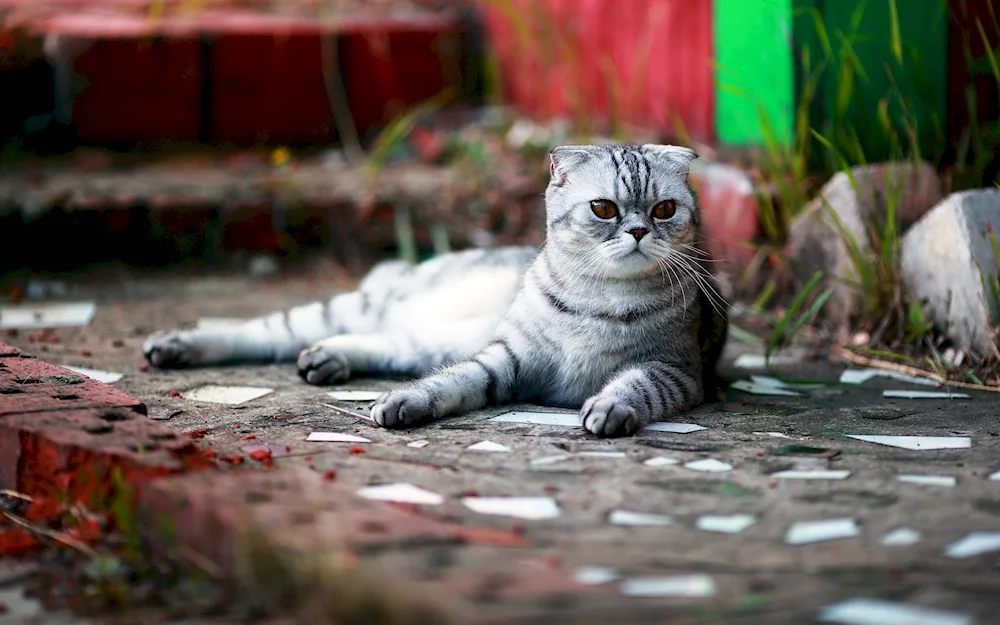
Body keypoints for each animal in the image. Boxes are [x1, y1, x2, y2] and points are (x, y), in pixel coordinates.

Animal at [143, 142, 728, 436]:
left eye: (665, 210)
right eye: (604, 208)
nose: (639, 231)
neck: (599, 296)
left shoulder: (675, 371)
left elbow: (634, 386)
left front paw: (609, 409)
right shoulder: (506, 357)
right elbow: (452, 382)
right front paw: (406, 403)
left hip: (423, 339)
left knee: (383, 343)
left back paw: (327, 359)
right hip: (360, 309)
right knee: (260, 330)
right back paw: (177, 345)